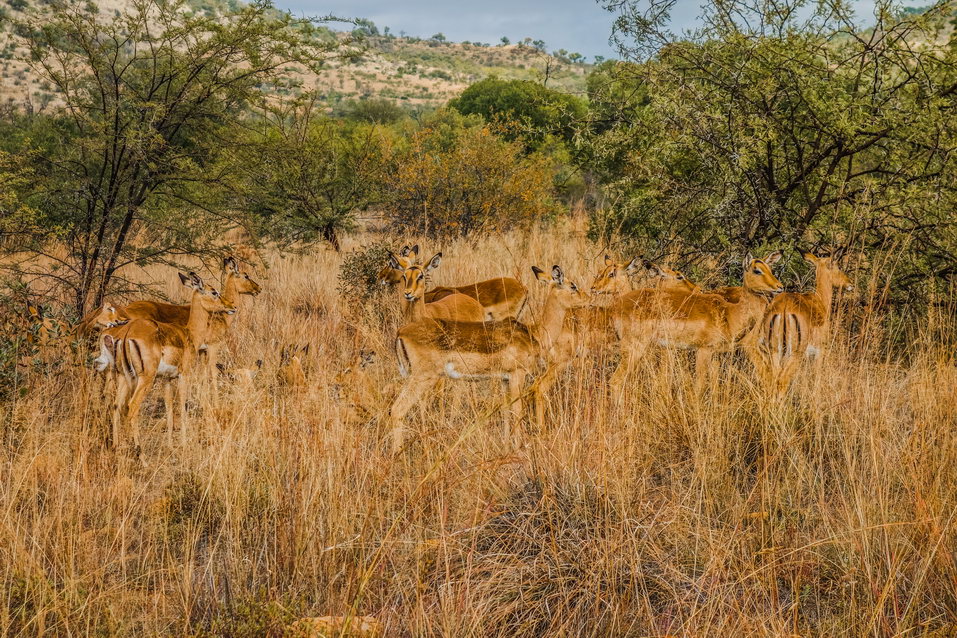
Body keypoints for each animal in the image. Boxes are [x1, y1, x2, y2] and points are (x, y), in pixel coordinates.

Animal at [102, 272, 235, 458]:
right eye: (214, 292)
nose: (231, 306)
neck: (189, 333)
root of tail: (127, 333)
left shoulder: (166, 379)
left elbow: (169, 409)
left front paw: (171, 446)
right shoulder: (184, 375)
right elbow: (182, 405)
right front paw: (185, 444)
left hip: (124, 376)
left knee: (116, 405)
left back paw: (116, 447)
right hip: (145, 379)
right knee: (132, 407)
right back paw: (140, 454)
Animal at [386, 264, 584, 456]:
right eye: (572, 285)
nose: (587, 298)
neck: (533, 334)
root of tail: (401, 332)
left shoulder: (504, 379)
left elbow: (506, 411)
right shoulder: (517, 375)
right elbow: (517, 411)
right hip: (423, 378)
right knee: (398, 409)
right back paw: (397, 455)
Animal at [608, 252, 780, 392]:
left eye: (770, 269)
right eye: (757, 270)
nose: (779, 286)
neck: (729, 313)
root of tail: (617, 306)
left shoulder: (714, 354)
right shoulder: (703, 350)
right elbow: (700, 386)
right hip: (635, 348)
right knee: (615, 381)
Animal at [756, 249, 852, 396]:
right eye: (838, 266)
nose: (849, 283)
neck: (820, 301)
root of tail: (784, 308)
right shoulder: (819, 352)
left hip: (775, 351)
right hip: (794, 353)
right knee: (783, 380)